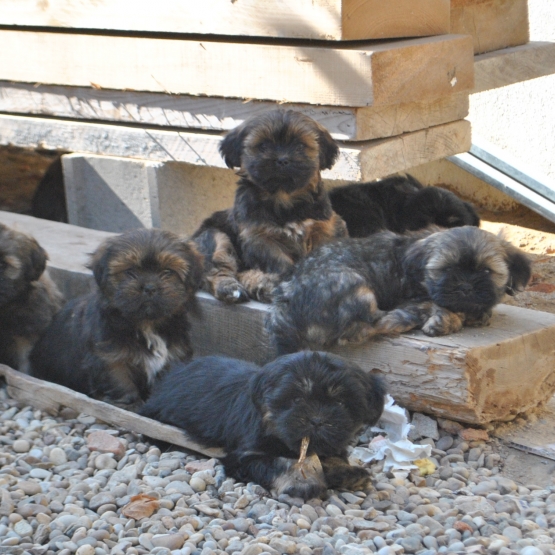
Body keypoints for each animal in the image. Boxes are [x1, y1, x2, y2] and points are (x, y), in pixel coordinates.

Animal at [29, 228, 204, 406]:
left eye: (168, 272)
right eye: (130, 272)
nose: (150, 287)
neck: (146, 323)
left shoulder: (175, 356)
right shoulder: (110, 357)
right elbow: (120, 381)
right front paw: (129, 404)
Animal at [142, 354, 386, 502]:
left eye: (341, 404)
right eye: (296, 399)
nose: (317, 419)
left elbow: (331, 454)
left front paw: (346, 471)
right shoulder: (245, 455)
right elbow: (277, 462)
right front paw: (300, 481)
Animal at [270, 227, 536, 354]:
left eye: (487, 271)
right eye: (446, 269)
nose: (465, 286)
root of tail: (284, 303)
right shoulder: (417, 297)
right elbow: (442, 307)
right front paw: (446, 320)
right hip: (356, 287)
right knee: (369, 326)